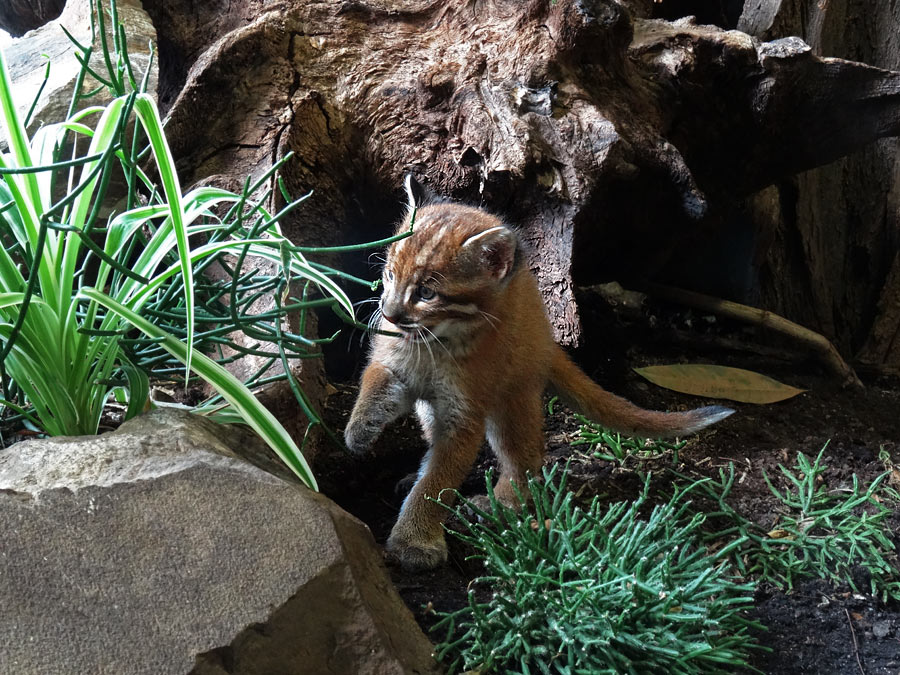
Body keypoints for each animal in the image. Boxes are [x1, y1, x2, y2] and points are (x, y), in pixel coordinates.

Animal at [344, 177, 732, 572]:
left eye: (426, 292)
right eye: (390, 274)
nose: (388, 312)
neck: (435, 345)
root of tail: (546, 338)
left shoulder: (464, 415)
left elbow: (439, 479)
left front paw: (414, 541)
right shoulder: (392, 361)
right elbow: (373, 381)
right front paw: (360, 431)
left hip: (512, 401)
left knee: (527, 458)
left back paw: (500, 503)